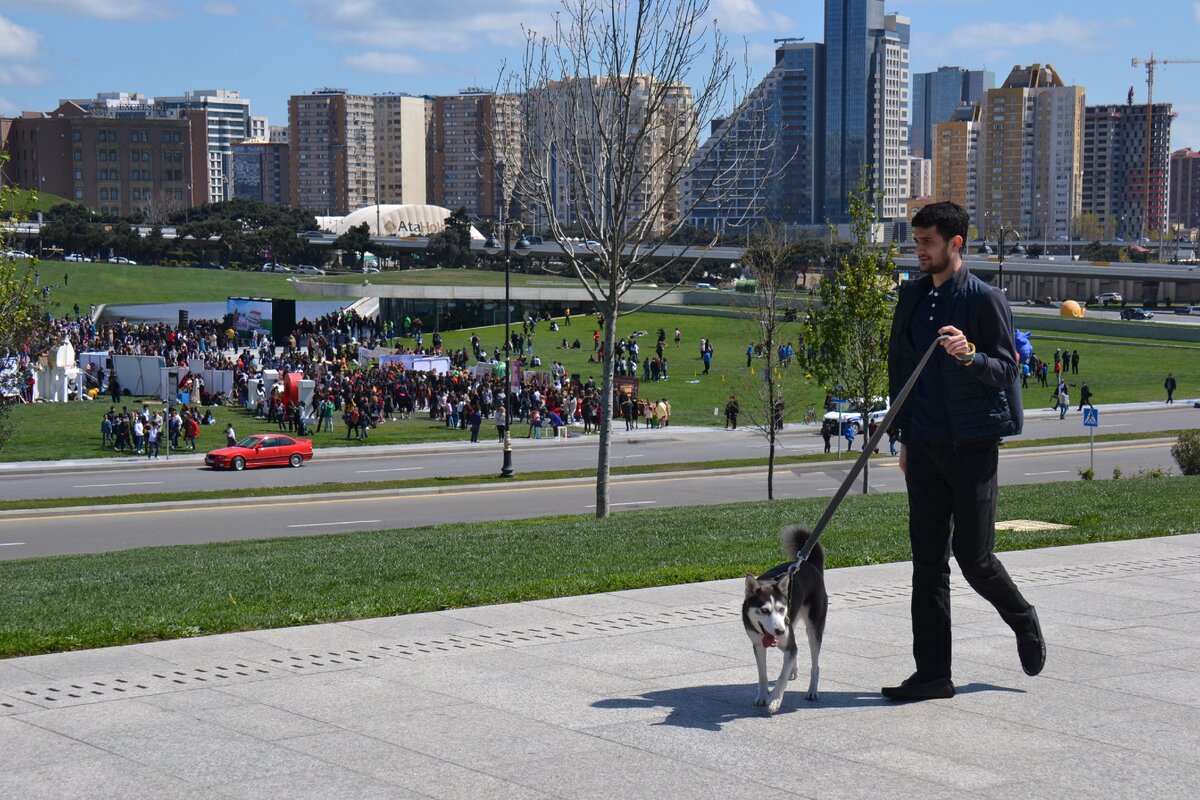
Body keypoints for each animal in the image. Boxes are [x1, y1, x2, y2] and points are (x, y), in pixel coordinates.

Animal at [739, 522, 825, 714]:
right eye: (764, 610)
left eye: (780, 609)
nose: (779, 631)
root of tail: (810, 565)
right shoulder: (758, 645)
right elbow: (762, 674)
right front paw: (762, 696)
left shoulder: (786, 635)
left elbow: (781, 676)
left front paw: (775, 701)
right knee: (796, 647)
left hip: (813, 627)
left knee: (815, 663)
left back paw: (812, 690)